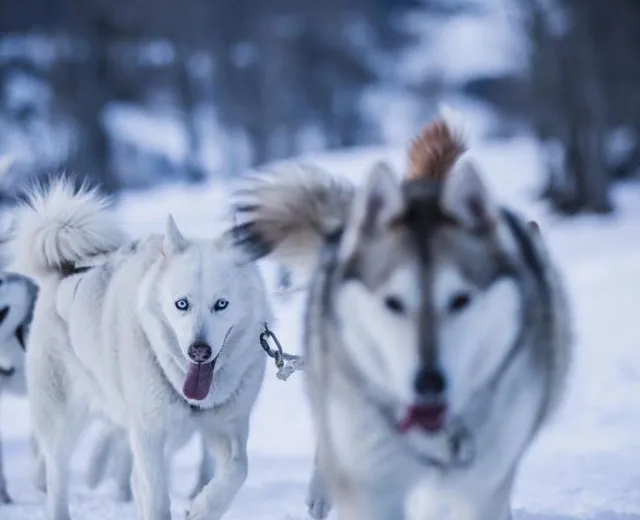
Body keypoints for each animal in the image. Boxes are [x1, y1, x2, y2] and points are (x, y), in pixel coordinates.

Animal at [7, 180, 272, 520]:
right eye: (182, 304)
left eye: (221, 304)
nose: (198, 351)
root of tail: (62, 271)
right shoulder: (148, 434)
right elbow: (156, 496)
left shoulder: (226, 428)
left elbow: (238, 470)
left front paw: (202, 508)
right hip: (63, 419)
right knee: (57, 474)